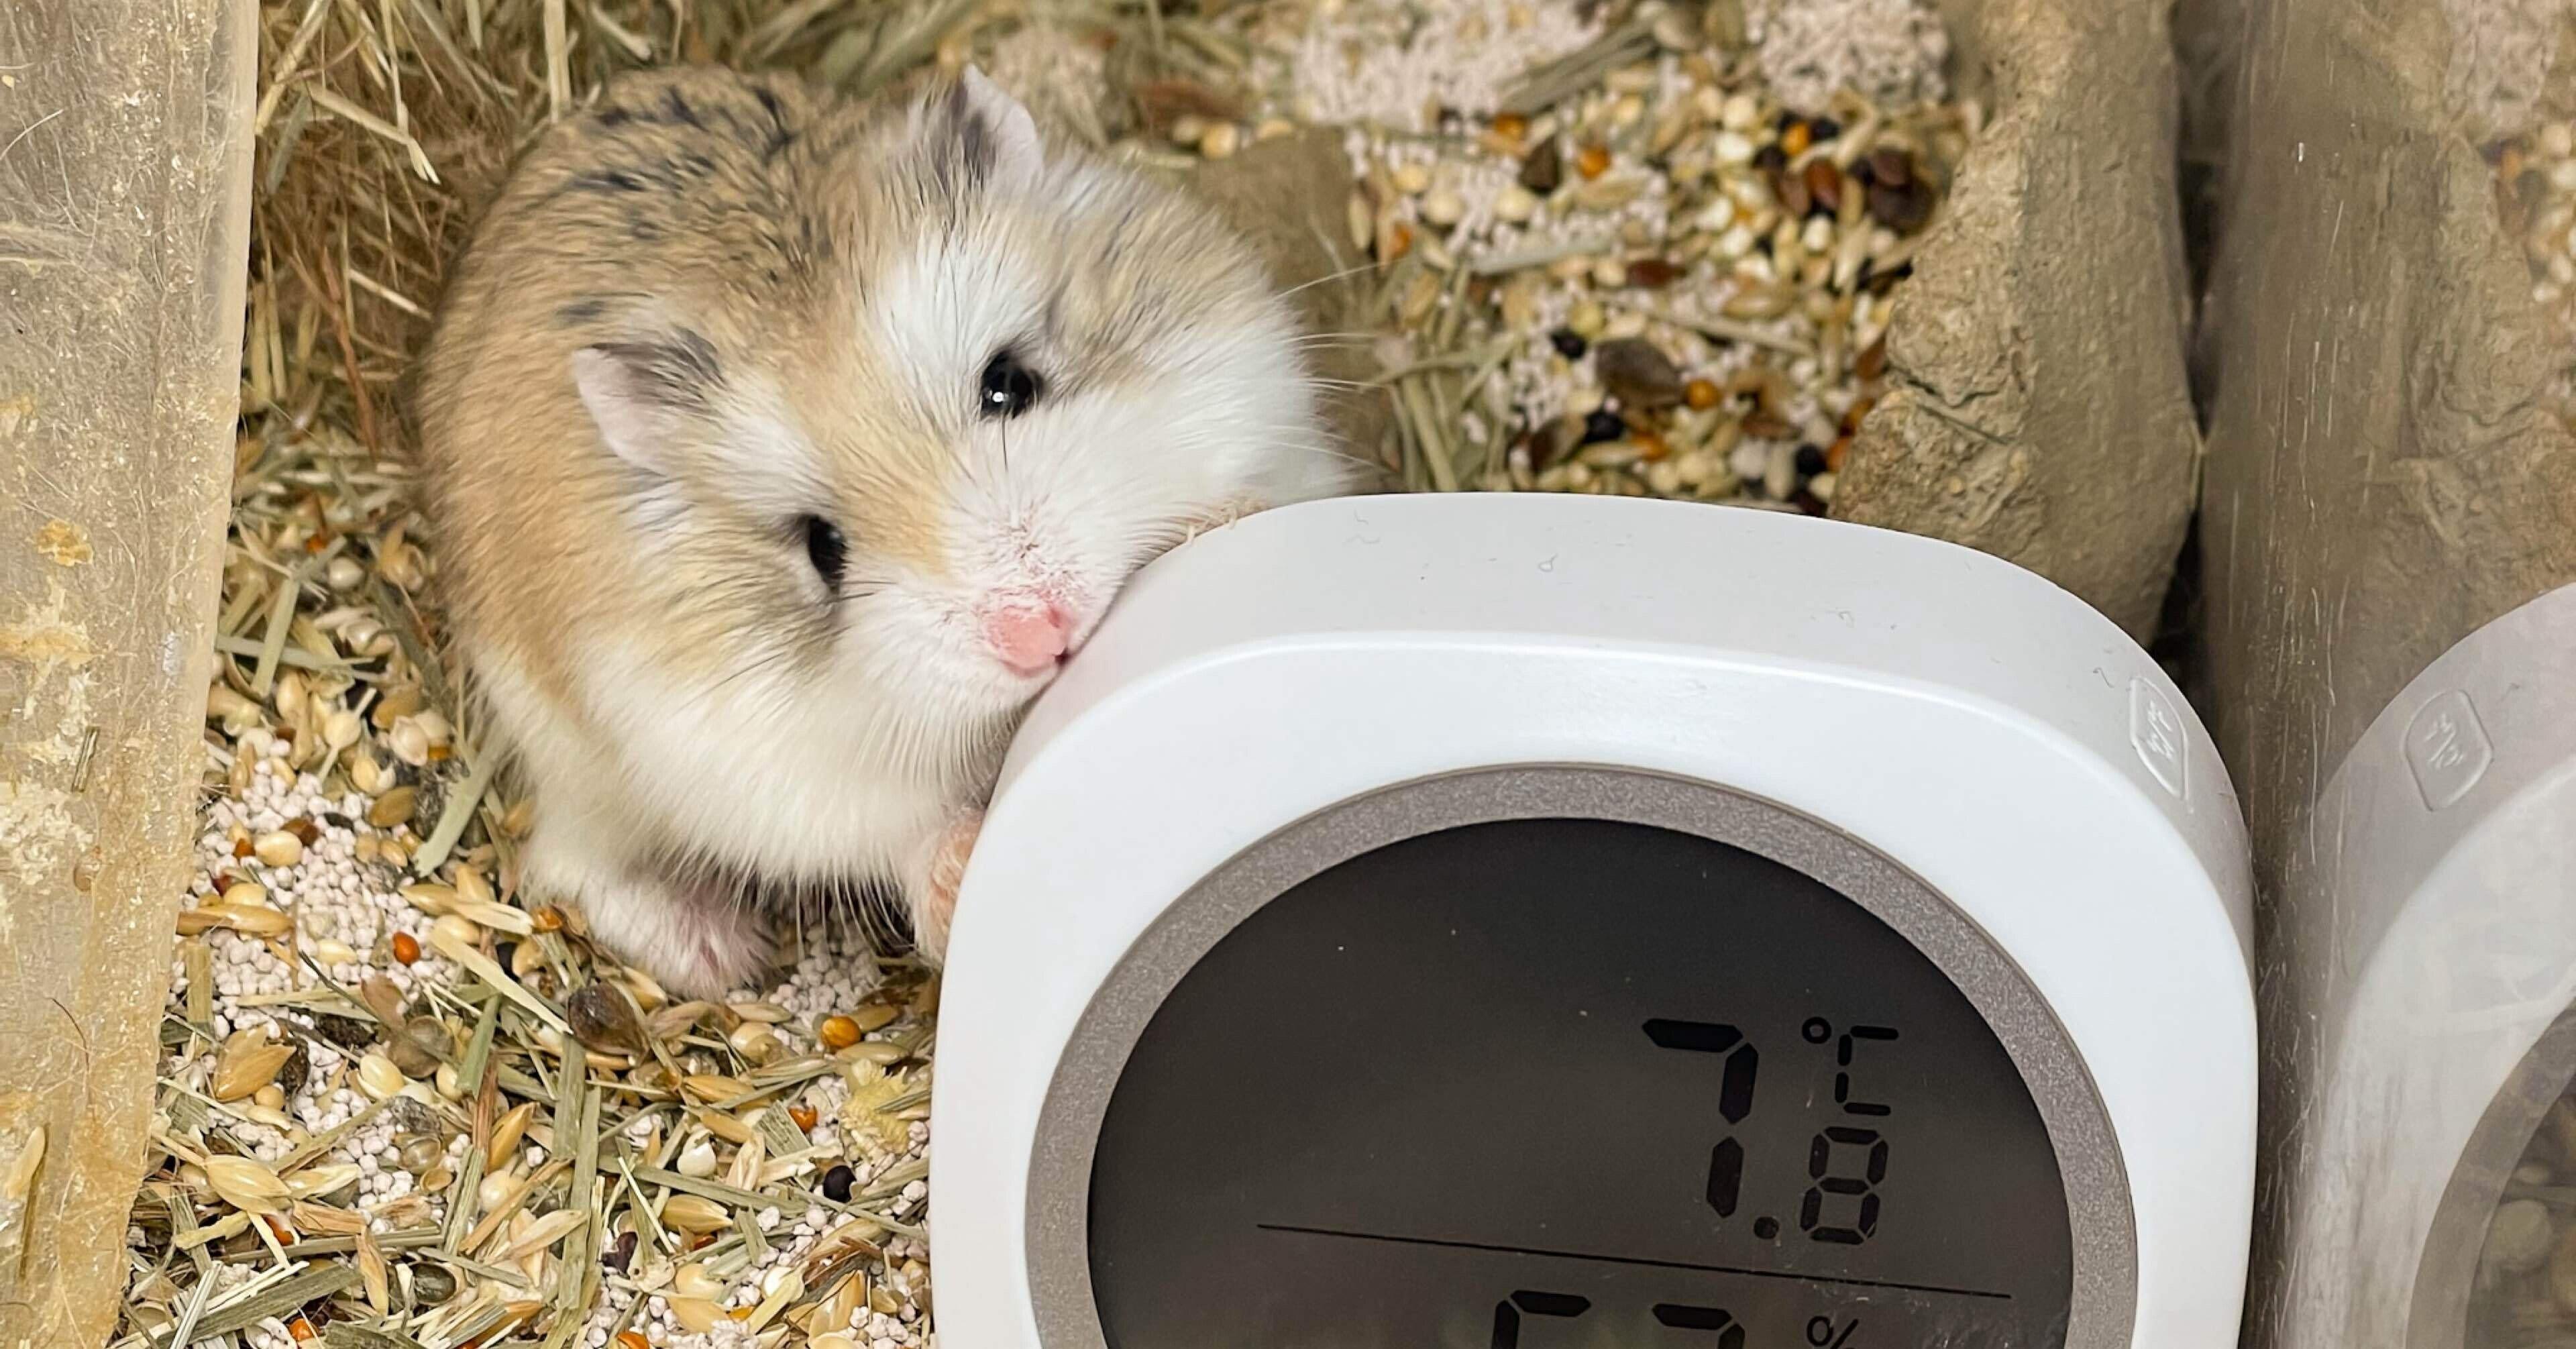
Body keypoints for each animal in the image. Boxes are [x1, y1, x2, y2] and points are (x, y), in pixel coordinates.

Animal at [415, 65, 1356, 996]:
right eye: (822, 547)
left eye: (1010, 383)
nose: (1040, 635)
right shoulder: (762, 764)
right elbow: (895, 828)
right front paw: (965, 877)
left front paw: (1219, 521)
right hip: (573, 769)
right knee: (567, 865)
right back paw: (719, 952)